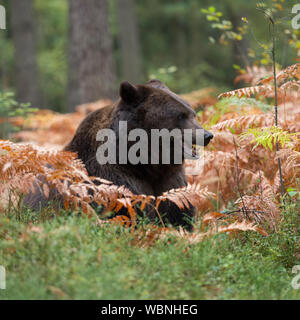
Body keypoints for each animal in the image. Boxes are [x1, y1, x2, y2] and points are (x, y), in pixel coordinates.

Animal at [63, 80, 213, 229]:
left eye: (192, 113)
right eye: (181, 115)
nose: (207, 135)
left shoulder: (170, 180)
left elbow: (177, 209)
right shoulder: (116, 179)